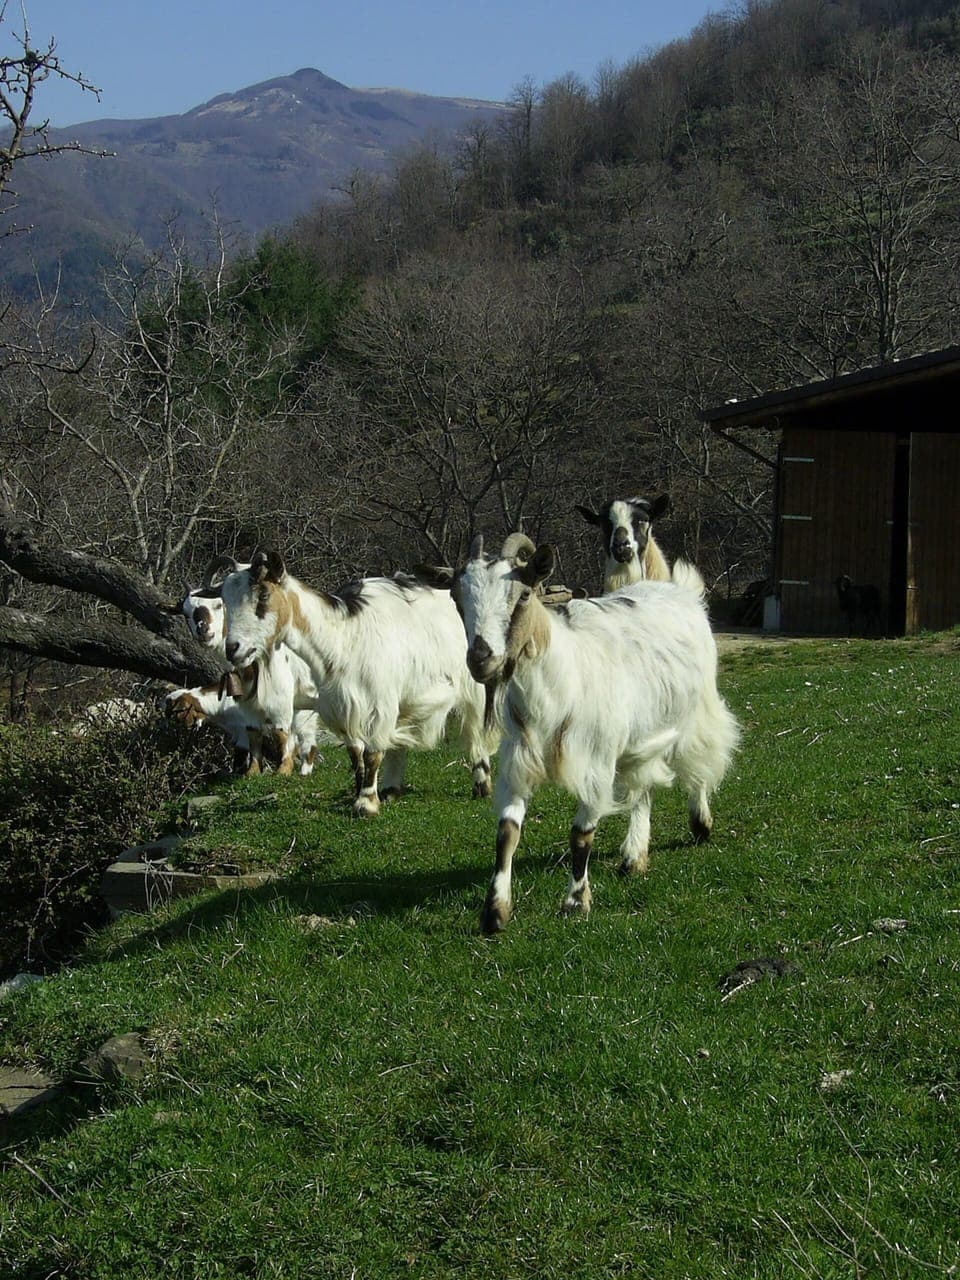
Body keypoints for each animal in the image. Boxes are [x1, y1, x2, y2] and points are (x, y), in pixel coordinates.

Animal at [219, 549, 497, 816]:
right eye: (225, 600)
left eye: (264, 595)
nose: (233, 648)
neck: (343, 638)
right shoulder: (344, 706)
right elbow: (355, 753)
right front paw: (360, 791)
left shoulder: (377, 705)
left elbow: (373, 754)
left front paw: (366, 804)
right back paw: (391, 788)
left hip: (474, 686)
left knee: (477, 732)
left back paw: (481, 785)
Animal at [453, 532, 739, 932]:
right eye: (456, 597)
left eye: (523, 595)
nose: (481, 658)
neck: (559, 681)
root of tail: (681, 591)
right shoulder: (518, 760)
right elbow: (506, 833)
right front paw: (495, 911)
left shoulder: (596, 762)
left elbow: (581, 835)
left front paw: (576, 902)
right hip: (639, 737)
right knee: (643, 788)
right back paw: (634, 855)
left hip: (694, 712)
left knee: (700, 762)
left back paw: (700, 823)